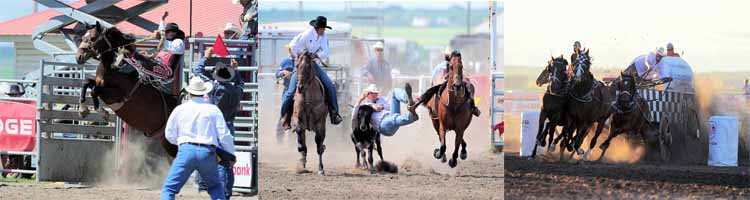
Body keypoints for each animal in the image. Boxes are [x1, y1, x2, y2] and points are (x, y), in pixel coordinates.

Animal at [76, 22, 179, 158]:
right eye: (83, 37)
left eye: (93, 38)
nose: (78, 57)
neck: (114, 67)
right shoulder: (98, 83)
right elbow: (86, 83)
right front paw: (83, 110)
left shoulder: (116, 94)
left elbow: (95, 91)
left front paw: (104, 113)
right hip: (166, 142)